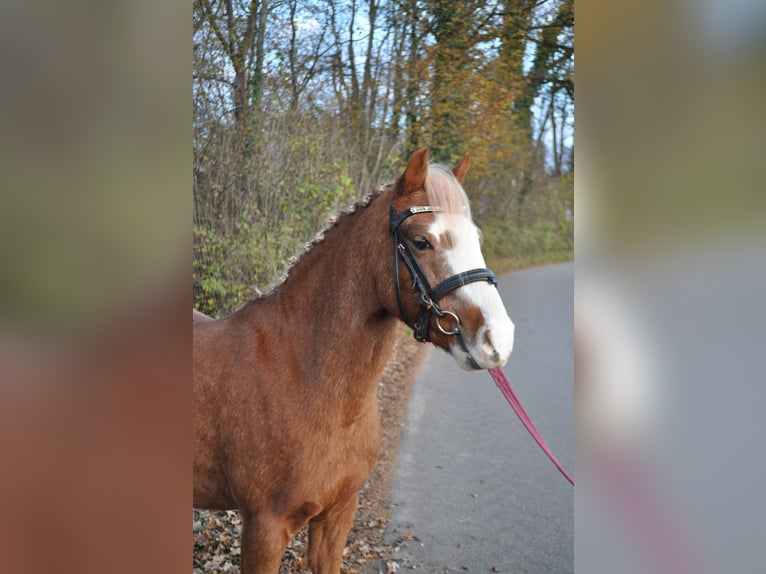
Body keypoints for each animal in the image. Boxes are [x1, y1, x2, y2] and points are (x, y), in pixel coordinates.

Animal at [194, 150, 516, 574]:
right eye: (421, 241)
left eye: (476, 240)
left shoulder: (337, 516)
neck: (303, 377)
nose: (500, 338)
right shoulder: (263, 531)